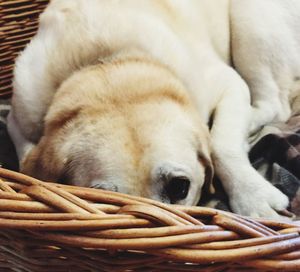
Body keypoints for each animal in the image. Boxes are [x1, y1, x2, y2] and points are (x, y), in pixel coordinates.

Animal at [7, 0, 300, 218]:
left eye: (180, 187)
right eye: (105, 200)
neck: (109, 64)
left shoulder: (229, 83)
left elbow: (220, 144)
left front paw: (254, 197)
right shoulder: (18, 118)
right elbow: (25, 157)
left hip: (251, 23)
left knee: (275, 105)